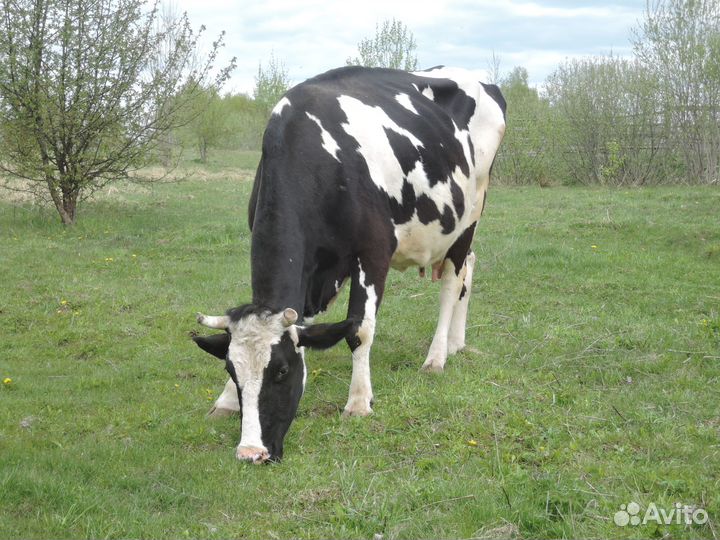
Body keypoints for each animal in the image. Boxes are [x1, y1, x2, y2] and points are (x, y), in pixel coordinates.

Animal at [193, 65, 506, 463]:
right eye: (231, 370)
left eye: (281, 371)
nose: (252, 452)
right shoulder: (315, 270)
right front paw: (226, 401)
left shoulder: (373, 253)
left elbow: (359, 330)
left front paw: (358, 402)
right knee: (469, 268)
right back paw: (455, 343)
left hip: (470, 213)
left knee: (453, 283)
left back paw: (436, 357)